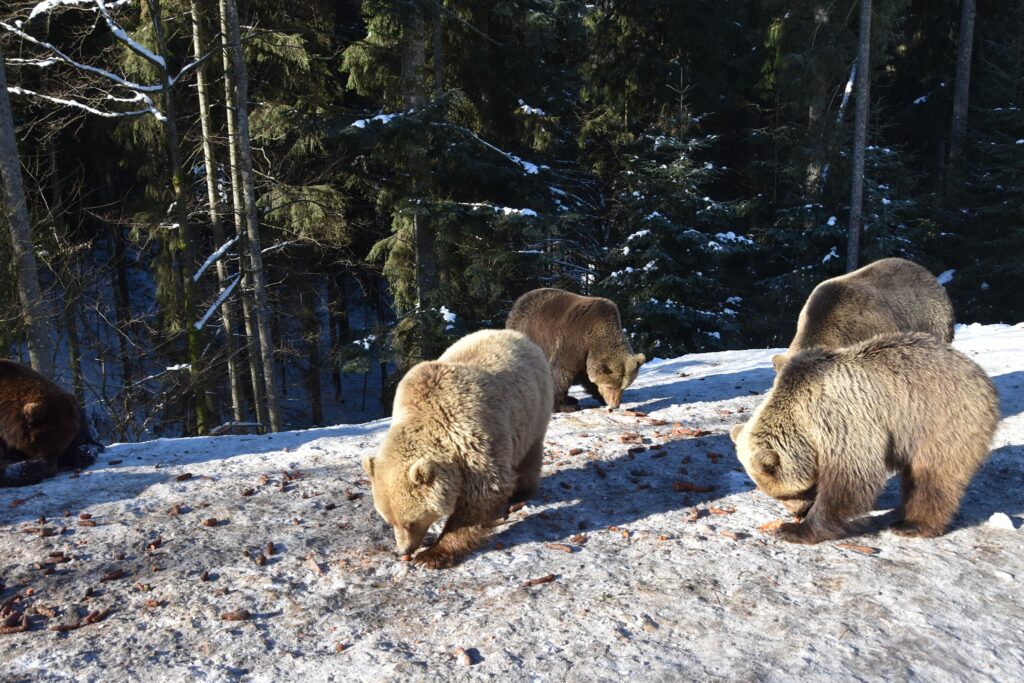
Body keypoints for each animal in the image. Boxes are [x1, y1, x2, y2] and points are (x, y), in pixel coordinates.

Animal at [363, 329, 553, 569]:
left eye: (410, 522)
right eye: (389, 521)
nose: (404, 551)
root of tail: (514, 334)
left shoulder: (472, 441)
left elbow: (484, 494)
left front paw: (432, 555)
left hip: (534, 408)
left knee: (531, 453)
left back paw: (521, 493)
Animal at [506, 287, 645, 411]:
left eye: (624, 387)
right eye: (610, 386)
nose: (615, 405)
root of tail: (519, 301)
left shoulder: (587, 353)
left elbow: (587, 376)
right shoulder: (574, 338)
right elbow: (561, 371)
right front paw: (564, 406)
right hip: (530, 333)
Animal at [730, 332, 998, 544]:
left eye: (786, 494)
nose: (798, 512)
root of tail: (980, 374)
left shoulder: (842, 420)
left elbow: (852, 478)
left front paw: (796, 530)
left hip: (940, 420)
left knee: (932, 476)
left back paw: (912, 525)